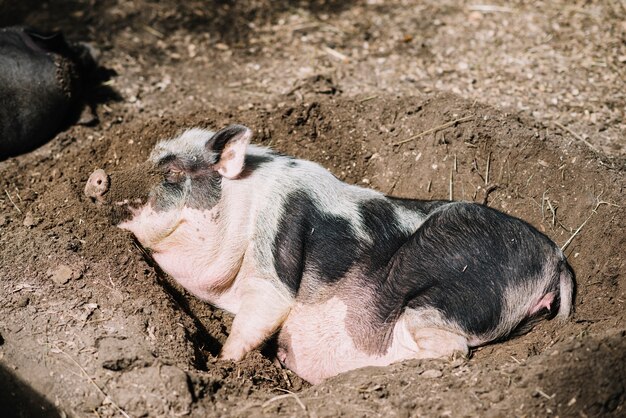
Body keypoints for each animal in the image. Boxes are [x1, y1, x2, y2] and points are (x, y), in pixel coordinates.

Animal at [85, 125, 572, 386]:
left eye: (170, 172)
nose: (96, 176)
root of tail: (555, 260)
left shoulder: (274, 268)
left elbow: (257, 318)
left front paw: (223, 367)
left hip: (450, 295)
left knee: (451, 350)